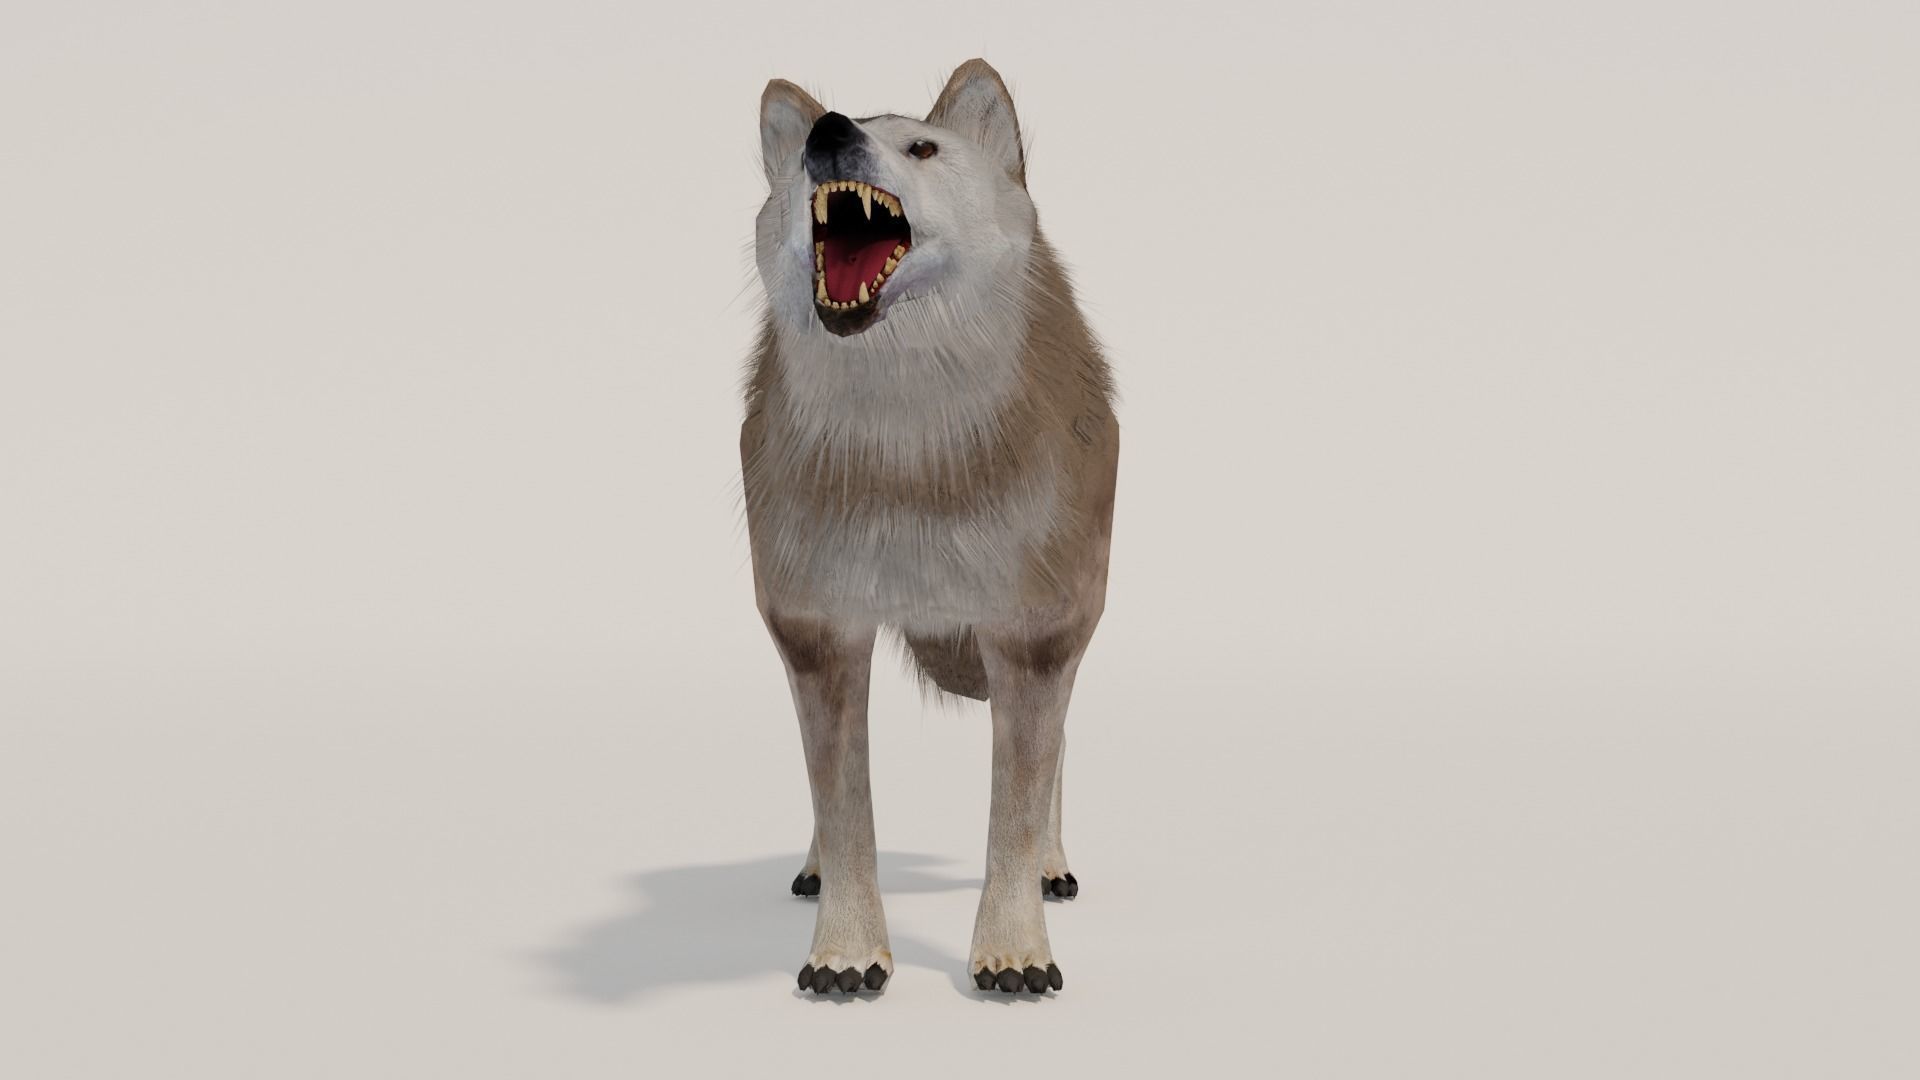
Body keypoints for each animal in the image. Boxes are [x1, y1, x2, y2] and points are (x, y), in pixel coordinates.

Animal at [742, 59, 1118, 995]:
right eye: (801, 156)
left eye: (922, 148)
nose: (828, 132)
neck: (908, 455)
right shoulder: (817, 625)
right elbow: (842, 803)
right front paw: (843, 954)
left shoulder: (1036, 628)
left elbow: (1017, 805)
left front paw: (1015, 954)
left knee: (1059, 752)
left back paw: (1056, 867)